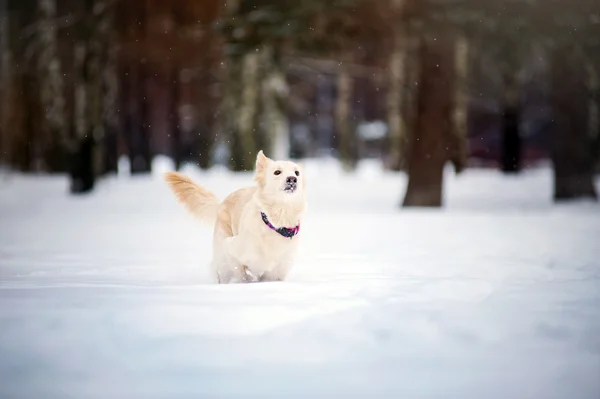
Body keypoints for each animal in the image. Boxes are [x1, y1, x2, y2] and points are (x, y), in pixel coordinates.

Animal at [163, 150, 304, 284]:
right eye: (277, 172)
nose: (292, 179)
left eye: (297, 172)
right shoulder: (231, 249)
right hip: (222, 262)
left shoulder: (275, 275)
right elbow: (242, 275)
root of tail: (221, 203)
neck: (277, 223)